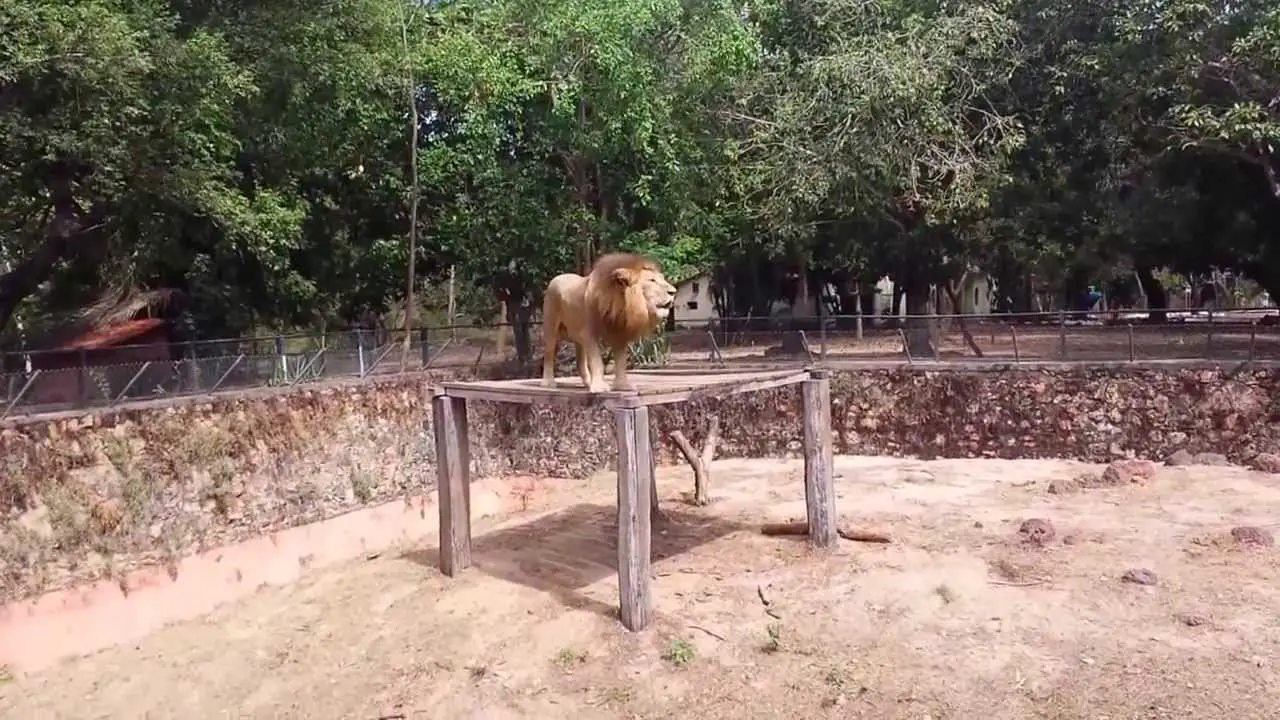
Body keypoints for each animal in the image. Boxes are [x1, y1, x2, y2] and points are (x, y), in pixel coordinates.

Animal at [540, 249, 680, 389]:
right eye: (652, 280)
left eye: (662, 279)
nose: (674, 292)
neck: (619, 304)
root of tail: (557, 277)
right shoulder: (589, 334)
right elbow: (597, 361)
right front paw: (599, 387)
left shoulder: (620, 333)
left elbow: (621, 362)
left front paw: (623, 386)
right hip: (551, 327)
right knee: (548, 354)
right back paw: (548, 382)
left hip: (577, 334)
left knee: (580, 360)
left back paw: (588, 382)